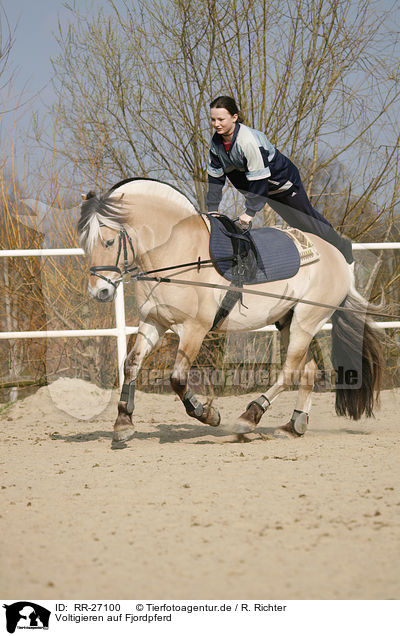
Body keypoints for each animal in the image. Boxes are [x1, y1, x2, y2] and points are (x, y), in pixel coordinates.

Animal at [78, 176, 384, 440]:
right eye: (86, 245)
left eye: (109, 241)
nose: (99, 291)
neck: (177, 252)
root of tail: (339, 257)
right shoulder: (155, 321)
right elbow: (131, 365)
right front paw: (123, 423)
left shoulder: (195, 329)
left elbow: (177, 378)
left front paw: (207, 414)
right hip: (288, 320)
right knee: (306, 370)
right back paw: (293, 425)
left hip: (306, 321)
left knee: (289, 371)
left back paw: (250, 417)